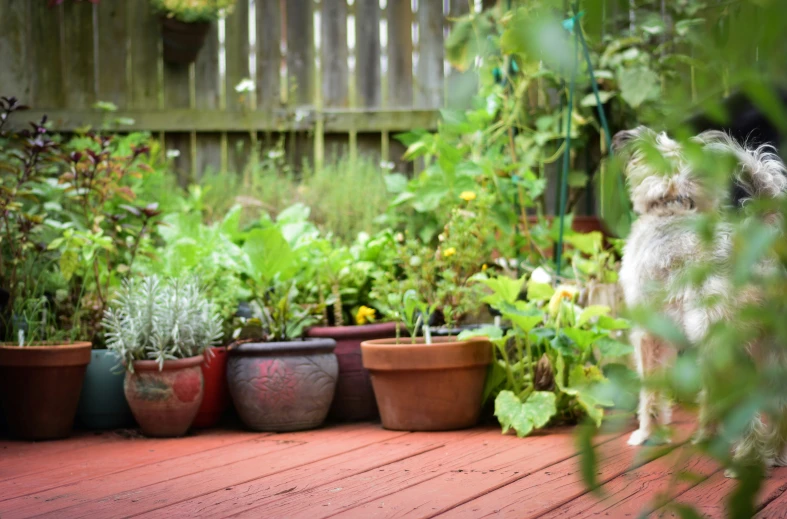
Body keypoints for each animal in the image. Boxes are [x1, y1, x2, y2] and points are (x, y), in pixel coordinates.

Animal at [616, 125, 787, 472]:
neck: (673, 204)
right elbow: (709, 396)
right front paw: (706, 435)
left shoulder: (649, 335)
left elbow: (650, 392)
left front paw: (646, 434)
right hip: (769, 347)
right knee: (779, 405)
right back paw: (774, 454)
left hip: (727, 347)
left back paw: (746, 462)